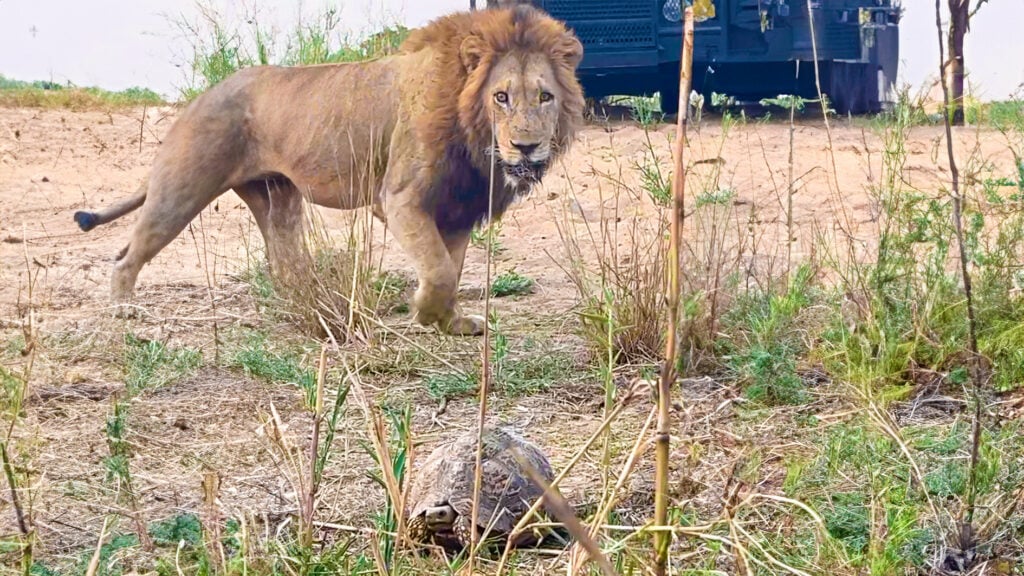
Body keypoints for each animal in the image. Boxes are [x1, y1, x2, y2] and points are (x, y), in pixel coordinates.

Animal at [72, 6, 584, 335]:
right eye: (501, 96)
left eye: (545, 96)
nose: (526, 146)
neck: (475, 137)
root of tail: (201, 96)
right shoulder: (400, 200)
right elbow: (438, 269)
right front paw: (423, 313)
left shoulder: (458, 206)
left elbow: (451, 270)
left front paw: (450, 323)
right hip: (180, 192)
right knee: (126, 255)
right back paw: (123, 310)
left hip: (277, 196)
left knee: (281, 259)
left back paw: (311, 302)